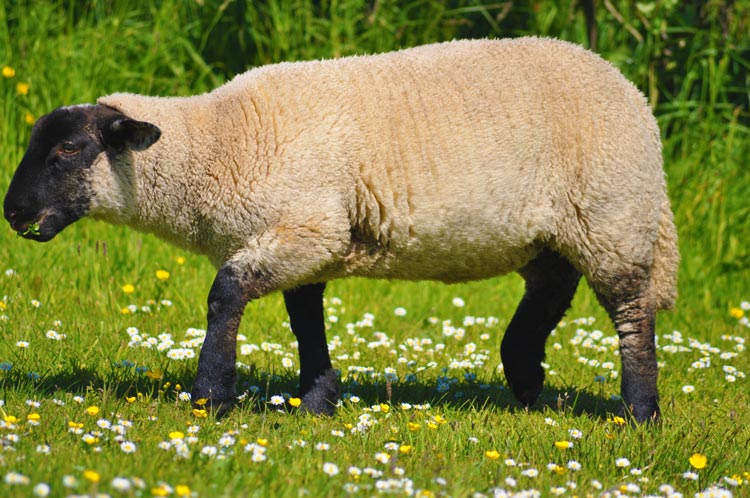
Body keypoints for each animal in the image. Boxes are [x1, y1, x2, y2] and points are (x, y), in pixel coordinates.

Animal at [3, 37, 678, 422]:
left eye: (68, 150)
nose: (11, 214)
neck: (221, 144)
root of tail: (633, 93)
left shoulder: (307, 227)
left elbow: (225, 293)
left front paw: (211, 398)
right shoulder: (308, 240)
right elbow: (306, 322)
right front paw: (317, 405)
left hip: (613, 213)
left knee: (631, 312)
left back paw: (640, 412)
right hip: (555, 227)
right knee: (552, 287)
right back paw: (528, 380)